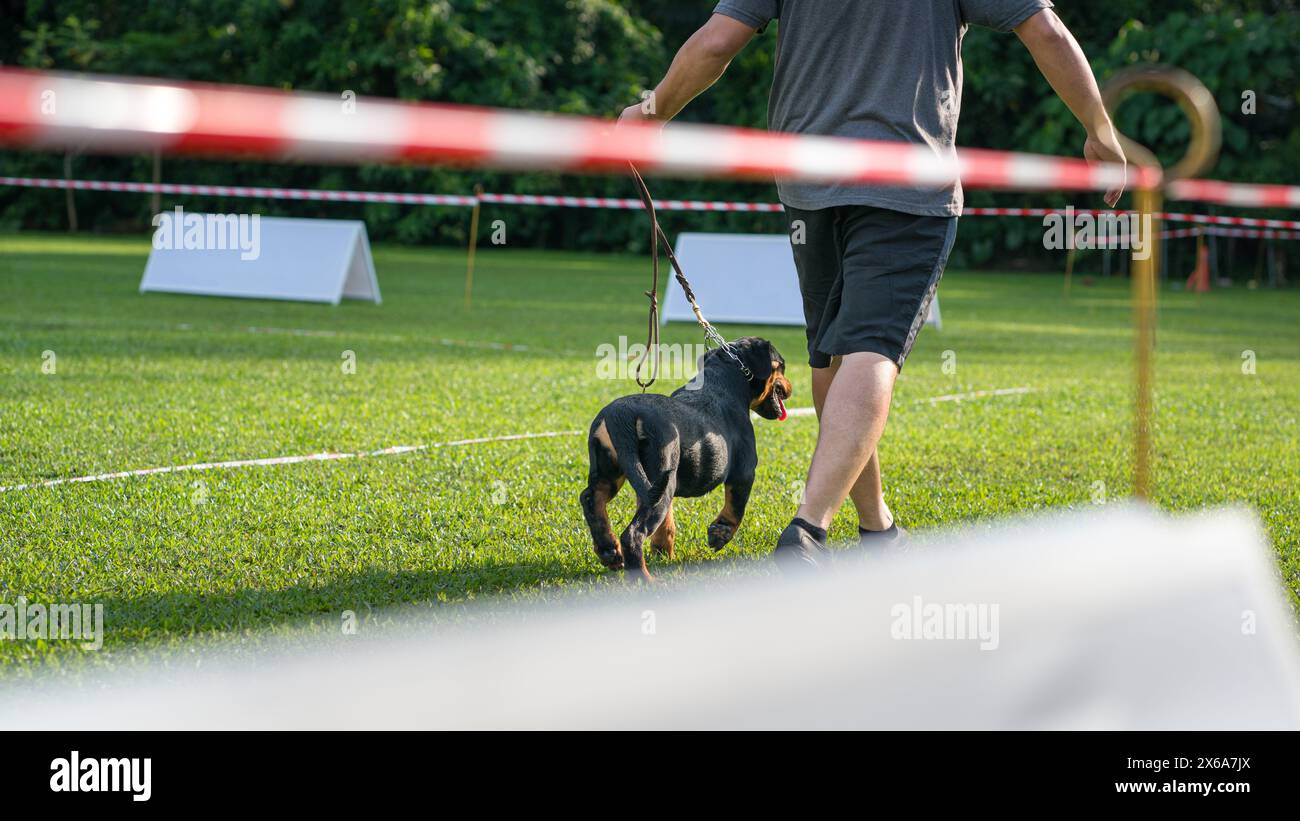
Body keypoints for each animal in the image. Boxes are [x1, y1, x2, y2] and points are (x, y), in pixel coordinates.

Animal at [582, 337, 790, 579]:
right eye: (782, 365)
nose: (790, 388)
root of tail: (621, 414)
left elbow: (667, 525)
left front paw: (663, 553)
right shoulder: (744, 472)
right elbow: (736, 508)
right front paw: (720, 534)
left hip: (614, 472)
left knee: (592, 498)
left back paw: (609, 550)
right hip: (660, 481)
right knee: (632, 535)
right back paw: (646, 580)